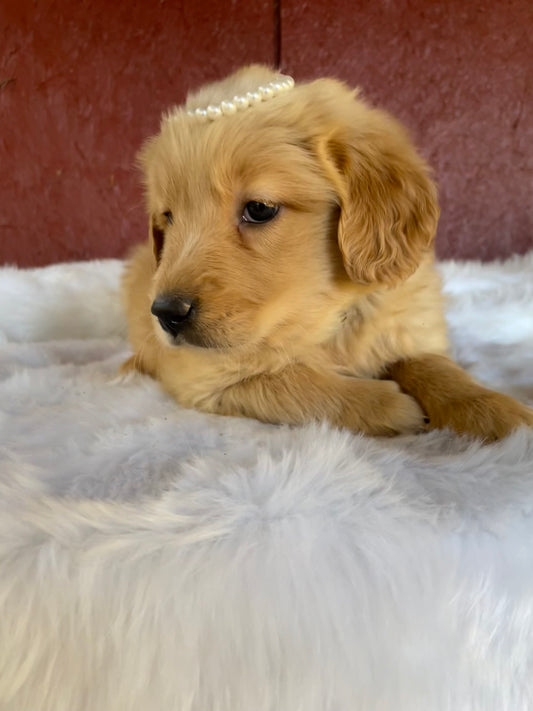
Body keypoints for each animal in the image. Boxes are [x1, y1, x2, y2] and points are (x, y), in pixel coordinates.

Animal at [121, 68, 532, 444]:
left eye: (259, 209)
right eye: (167, 217)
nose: (166, 314)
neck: (323, 312)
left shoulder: (406, 325)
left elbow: (436, 367)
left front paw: (497, 411)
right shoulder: (206, 377)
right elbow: (294, 383)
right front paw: (390, 404)